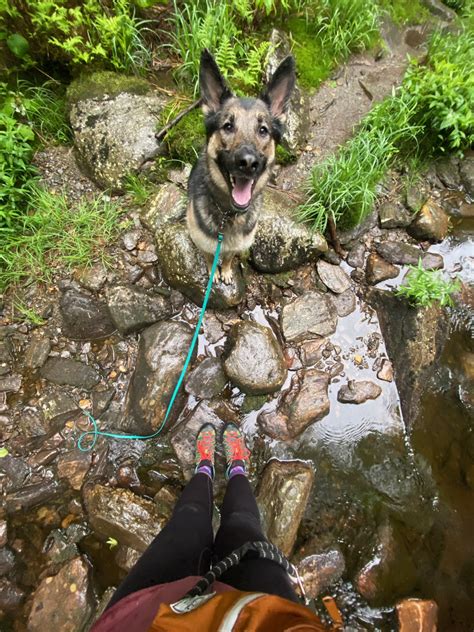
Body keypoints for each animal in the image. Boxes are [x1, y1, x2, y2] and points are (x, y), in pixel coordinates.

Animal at [187, 48, 294, 284]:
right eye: (228, 126)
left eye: (263, 130)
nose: (248, 163)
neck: (228, 214)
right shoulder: (205, 244)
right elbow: (209, 257)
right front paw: (211, 271)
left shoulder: (235, 246)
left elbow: (228, 257)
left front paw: (226, 271)